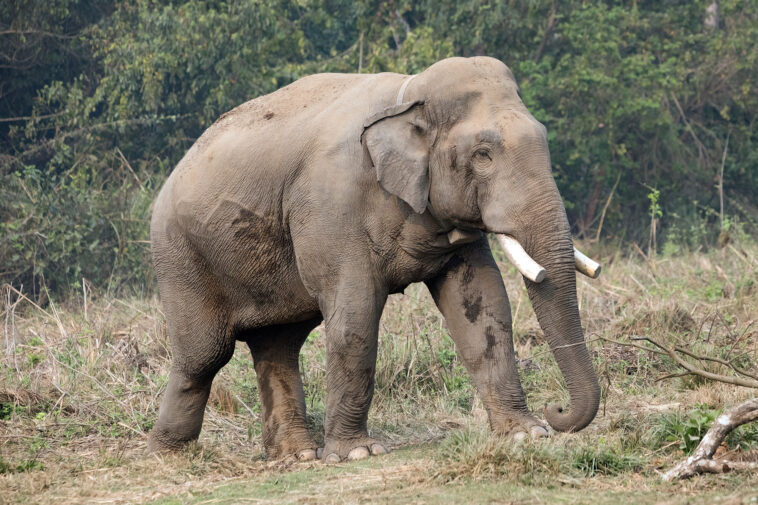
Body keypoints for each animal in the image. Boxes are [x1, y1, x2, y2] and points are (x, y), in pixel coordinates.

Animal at [147, 56, 602, 463]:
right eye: (483, 154)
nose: (556, 410)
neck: (407, 94)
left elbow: (482, 306)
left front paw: (526, 434)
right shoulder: (333, 205)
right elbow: (356, 316)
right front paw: (356, 453)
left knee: (278, 345)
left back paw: (297, 456)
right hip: (179, 257)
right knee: (204, 356)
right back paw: (170, 455)